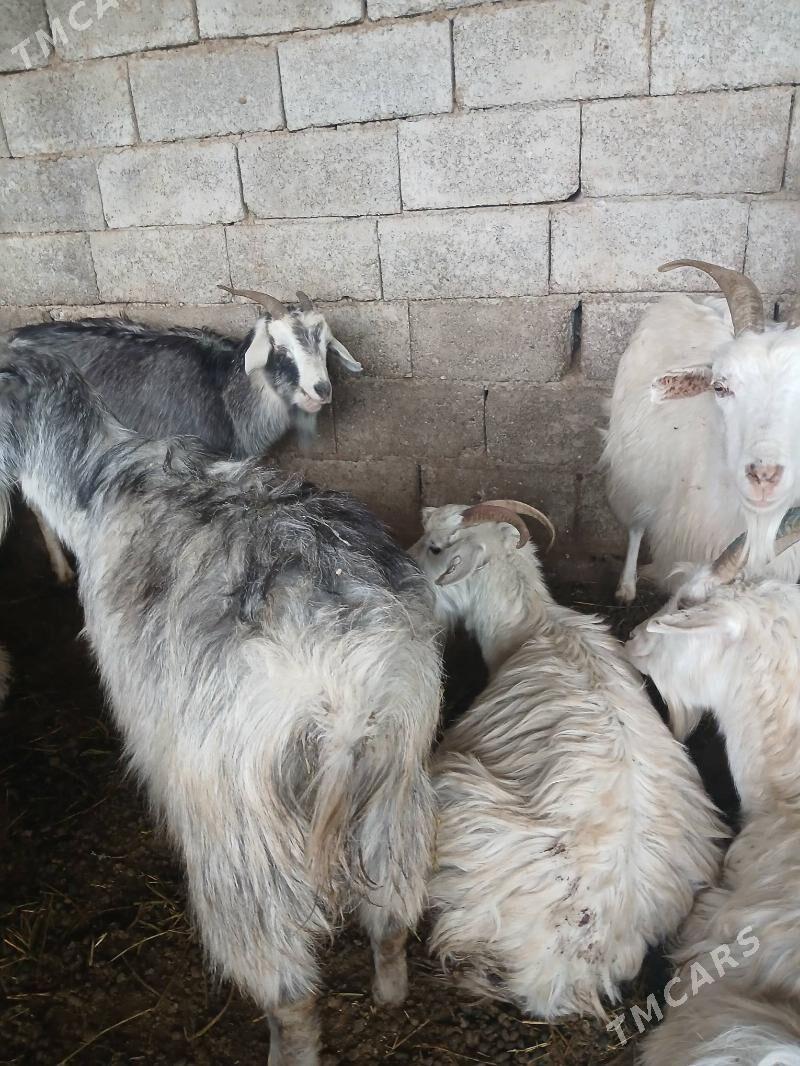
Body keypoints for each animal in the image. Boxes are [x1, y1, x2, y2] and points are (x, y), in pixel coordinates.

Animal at [0, 343, 441, 1065]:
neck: (102, 476)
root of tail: (342, 694)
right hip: (396, 788)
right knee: (393, 917)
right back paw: (391, 993)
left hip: (242, 845)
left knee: (289, 990)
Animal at [10, 285, 363, 584]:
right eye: (280, 346)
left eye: (325, 344)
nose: (321, 390)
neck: (224, 394)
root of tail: (14, 338)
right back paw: (62, 569)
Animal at [601, 260, 800, 606]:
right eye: (720, 387)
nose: (764, 475)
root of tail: (693, 299)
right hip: (632, 471)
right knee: (636, 524)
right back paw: (626, 588)